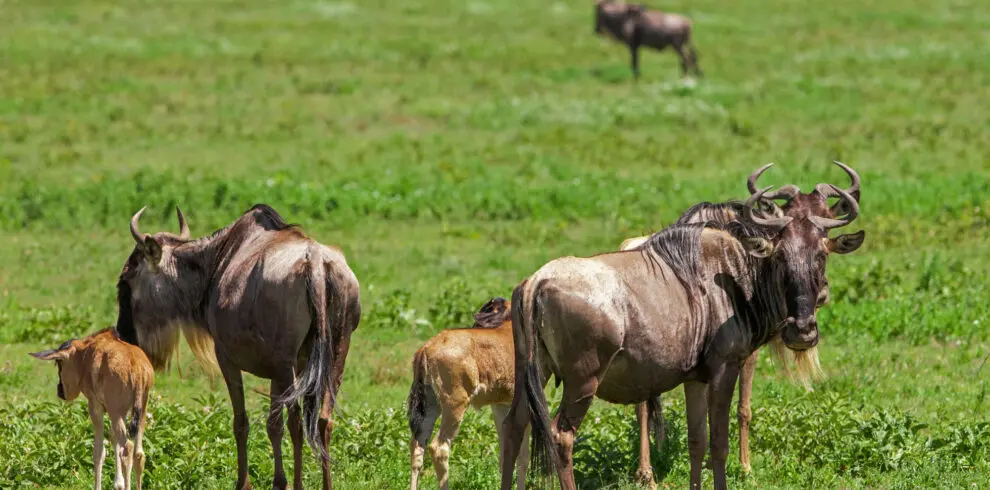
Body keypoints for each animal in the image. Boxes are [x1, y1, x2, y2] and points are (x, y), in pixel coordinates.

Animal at [30, 327, 154, 490]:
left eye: (59, 363)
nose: (60, 391)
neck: (86, 354)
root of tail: (137, 368)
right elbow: (112, 439)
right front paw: (118, 483)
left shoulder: (96, 408)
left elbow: (99, 453)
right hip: (141, 410)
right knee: (139, 454)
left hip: (116, 412)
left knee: (127, 449)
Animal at [114, 204, 361, 490]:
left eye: (126, 279)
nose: (124, 336)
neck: (215, 264)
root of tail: (316, 265)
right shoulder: (276, 371)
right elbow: (272, 425)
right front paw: (279, 482)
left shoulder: (227, 358)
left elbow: (241, 422)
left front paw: (244, 483)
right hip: (335, 356)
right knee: (323, 421)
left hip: (288, 364)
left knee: (297, 423)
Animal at [498, 162, 864, 490]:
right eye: (780, 255)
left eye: (822, 252)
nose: (802, 331)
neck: (737, 273)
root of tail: (538, 281)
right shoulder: (725, 367)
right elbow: (719, 444)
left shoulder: (695, 377)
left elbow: (696, 442)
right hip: (582, 381)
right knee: (561, 435)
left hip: (534, 370)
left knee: (513, 426)